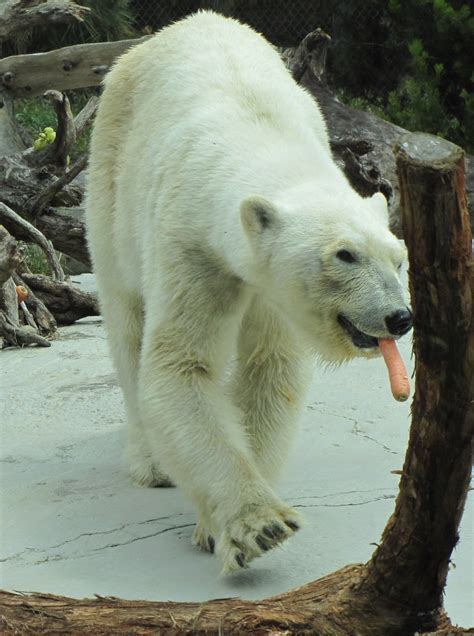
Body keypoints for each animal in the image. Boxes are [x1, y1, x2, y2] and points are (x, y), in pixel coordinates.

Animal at [86, 11, 412, 576]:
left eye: (397, 258)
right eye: (345, 255)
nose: (399, 317)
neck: (258, 135)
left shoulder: (270, 288)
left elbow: (268, 372)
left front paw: (220, 524)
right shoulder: (190, 240)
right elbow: (181, 364)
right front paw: (256, 525)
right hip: (111, 180)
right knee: (126, 320)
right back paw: (150, 460)